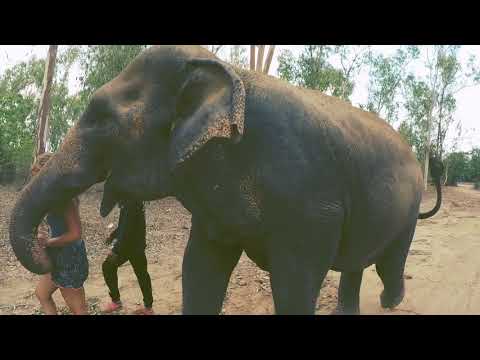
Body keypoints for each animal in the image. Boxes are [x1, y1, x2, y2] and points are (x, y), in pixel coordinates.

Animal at [8, 45, 442, 316]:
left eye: (100, 117)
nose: (47, 251)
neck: (228, 71)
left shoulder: (311, 204)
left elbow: (296, 279)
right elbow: (201, 265)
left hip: (407, 211)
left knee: (388, 261)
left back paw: (392, 301)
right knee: (357, 262)